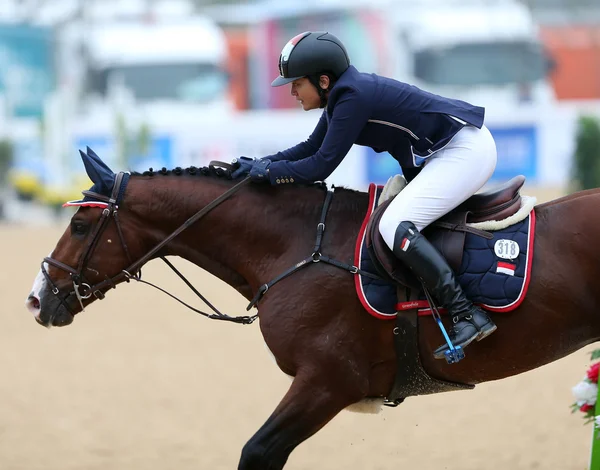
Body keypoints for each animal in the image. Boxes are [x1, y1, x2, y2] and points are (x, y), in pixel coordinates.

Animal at [25, 148, 600, 470]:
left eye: (80, 225)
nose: (37, 299)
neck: (297, 247)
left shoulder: (327, 381)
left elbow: (258, 453)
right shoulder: (324, 385)